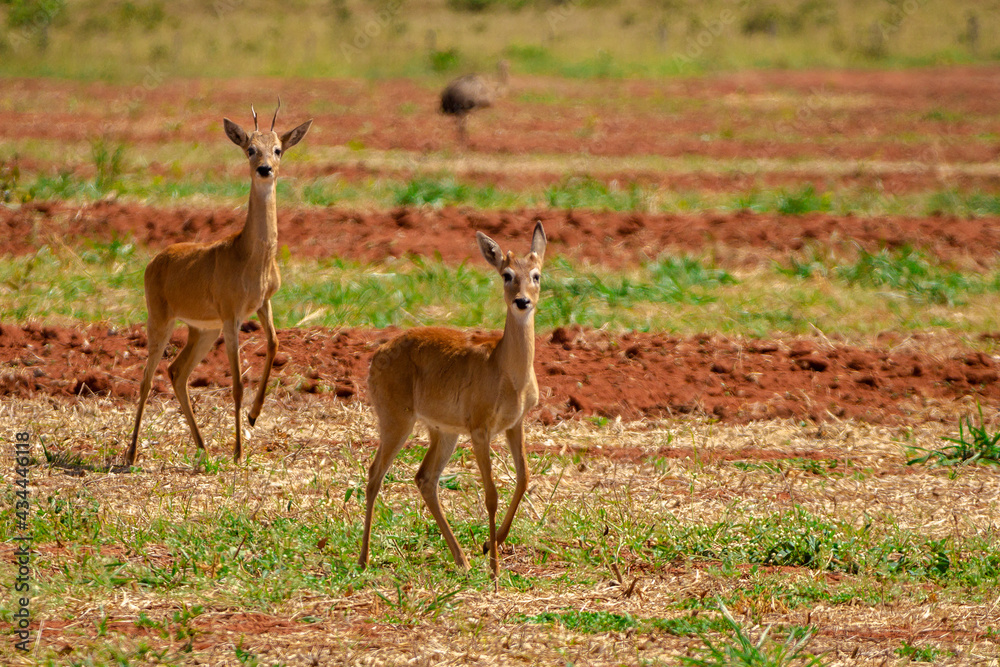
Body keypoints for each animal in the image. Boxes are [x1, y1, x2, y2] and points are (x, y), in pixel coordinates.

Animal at [125, 102, 312, 468]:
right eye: (250, 148)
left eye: (278, 148)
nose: (265, 169)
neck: (249, 255)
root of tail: (155, 261)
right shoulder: (231, 317)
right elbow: (236, 383)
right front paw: (239, 450)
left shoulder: (262, 304)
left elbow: (274, 344)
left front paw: (254, 416)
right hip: (162, 321)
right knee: (146, 379)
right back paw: (132, 452)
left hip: (202, 330)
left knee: (176, 371)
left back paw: (202, 446)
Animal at [360, 223, 548, 580]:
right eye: (506, 274)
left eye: (536, 274)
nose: (522, 301)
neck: (505, 369)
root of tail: (377, 354)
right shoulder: (480, 430)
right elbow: (491, 493)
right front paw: (495, 567)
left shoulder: (515, 424)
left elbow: (524, 478)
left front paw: (490, 545)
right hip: (396, 421)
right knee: (375, 473)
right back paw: (363, 559)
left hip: (443, 433)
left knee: (424, 478)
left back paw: (461, 559)